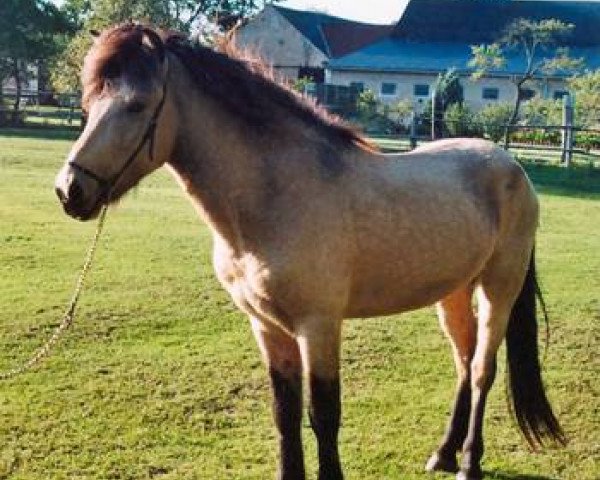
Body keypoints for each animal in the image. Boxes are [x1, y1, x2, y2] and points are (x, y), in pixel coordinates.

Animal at [54, 23, 564, 480]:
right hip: (452, 292)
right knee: (463, 362)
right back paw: (443, 453)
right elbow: (285, 414)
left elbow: (324, 415)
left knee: (481, 369)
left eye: (137, 105)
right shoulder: (266, 327)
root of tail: (511, 165)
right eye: (88, 104)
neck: (274, 196)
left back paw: (469, 464)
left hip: (499, 289)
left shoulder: (318, 326)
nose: (69, 191)